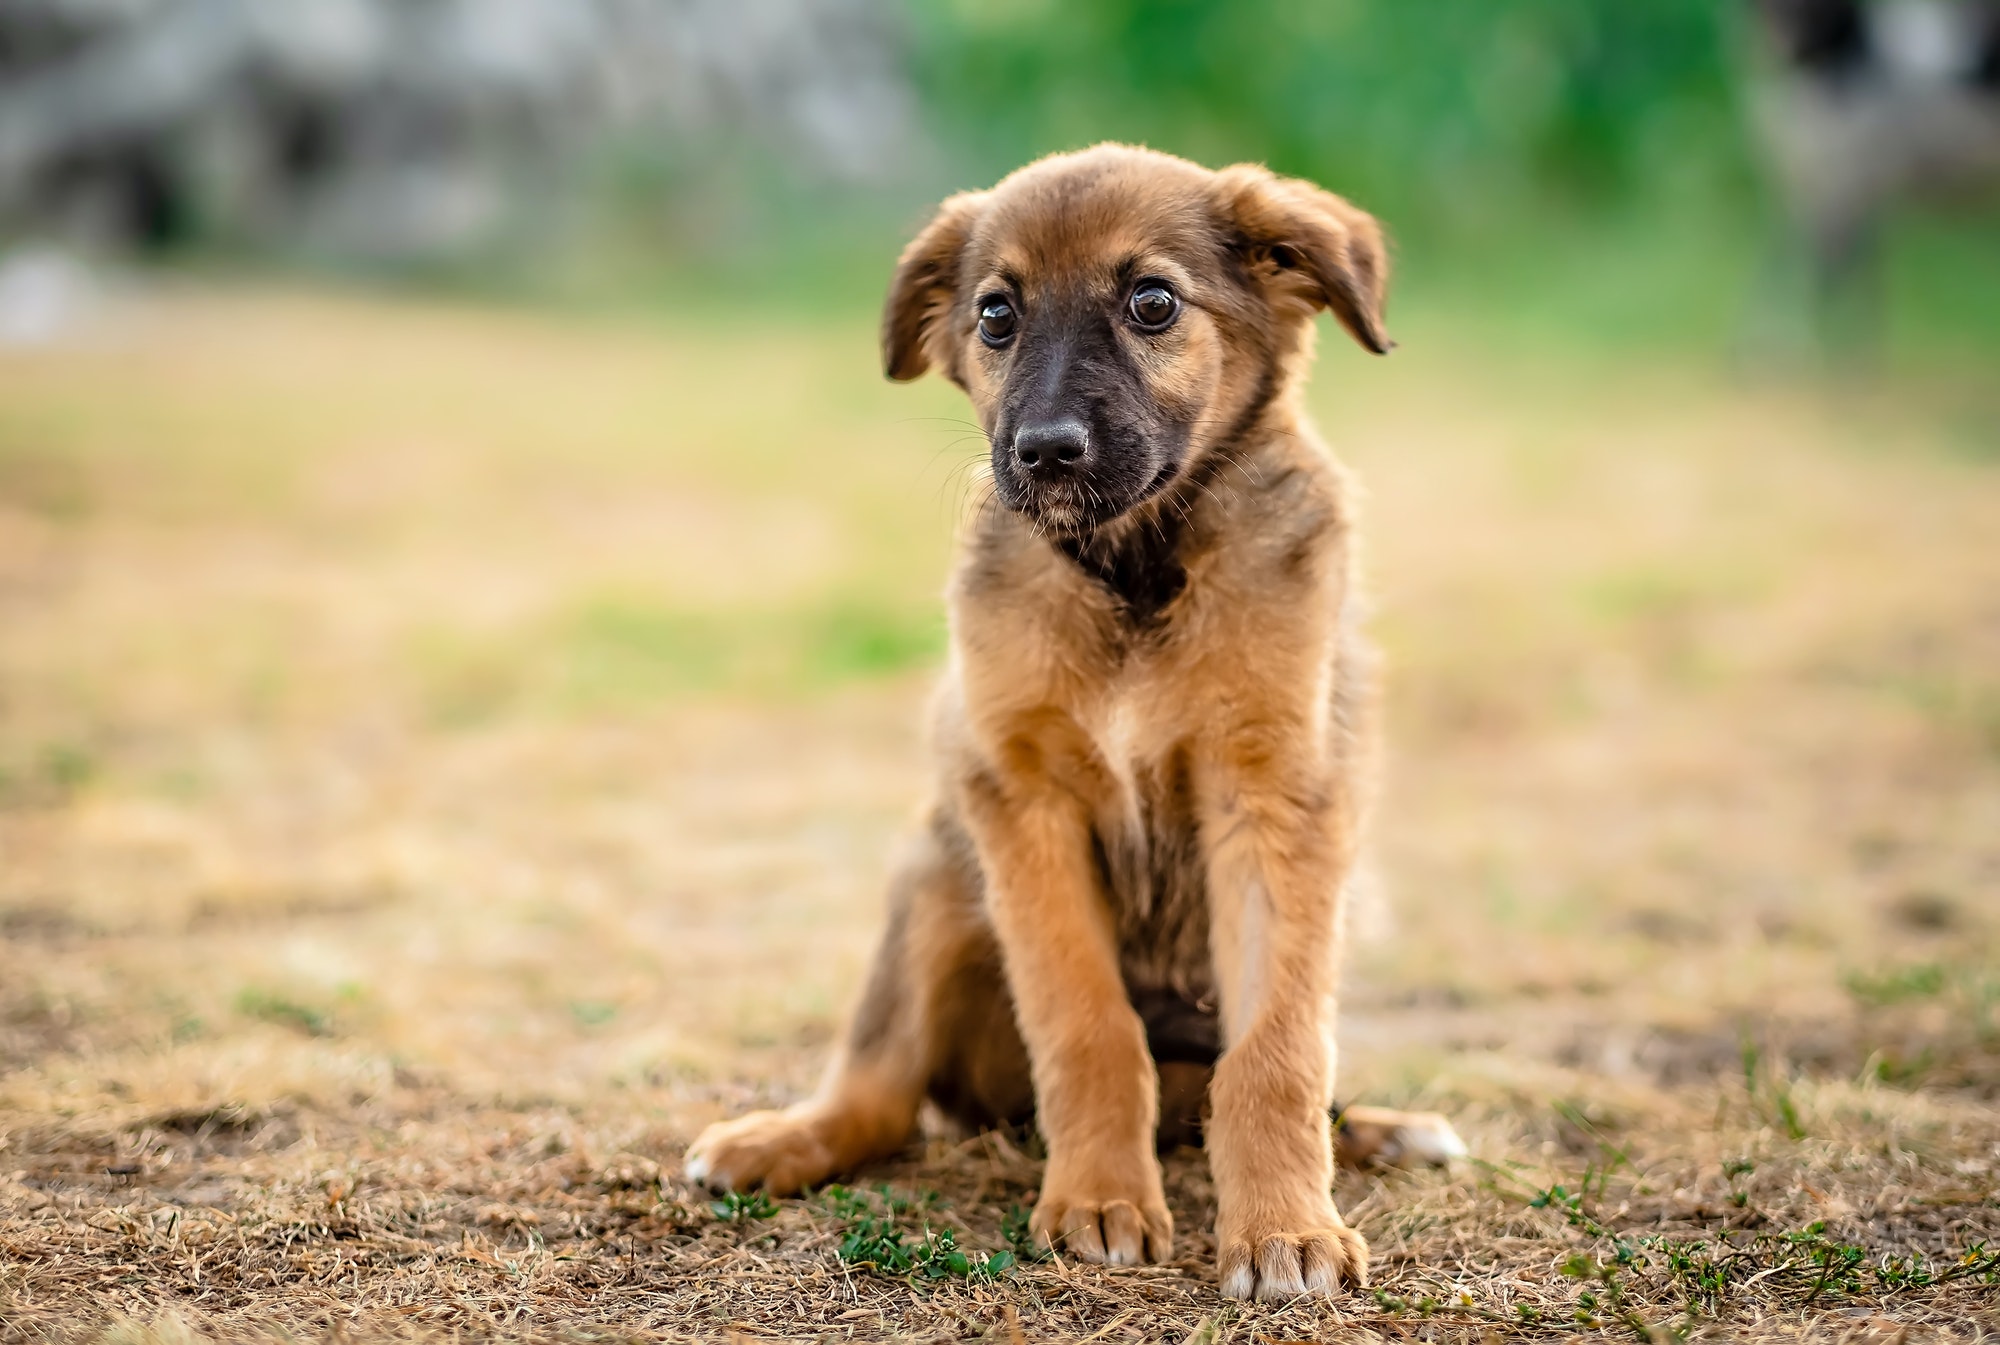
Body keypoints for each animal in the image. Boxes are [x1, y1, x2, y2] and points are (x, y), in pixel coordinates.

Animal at [684, 142, 1456, 1296]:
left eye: (1152, 302)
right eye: (996, 314)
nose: (1046, 452)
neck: (1133, 571)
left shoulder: (1275, 794)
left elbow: (1276, 1052)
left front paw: (1285, 1228)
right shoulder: (1022, 799)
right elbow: (1087, 1024)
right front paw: (1098, 1200)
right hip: (934, 878)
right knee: (879, 1088)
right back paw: (780, 1140)